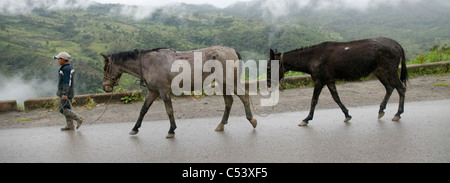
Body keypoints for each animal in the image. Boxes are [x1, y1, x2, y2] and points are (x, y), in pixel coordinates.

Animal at [102, 45, 256, 137]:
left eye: (105, 68)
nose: (105, 86)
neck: (149, 64)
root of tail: (232, 51)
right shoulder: (153, 92)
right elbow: (143, 109)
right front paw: (135, 128)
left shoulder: (163, 91)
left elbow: (169, 110)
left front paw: (171, 130)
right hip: (223, 83)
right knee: (229, 101)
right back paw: (221, 124)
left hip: (230, 82)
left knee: (244, 97)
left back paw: (252, 120)